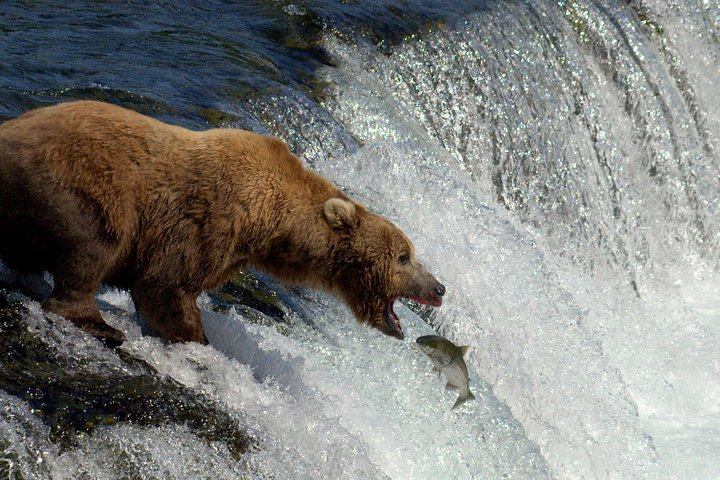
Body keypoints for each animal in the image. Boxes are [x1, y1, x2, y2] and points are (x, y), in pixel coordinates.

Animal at [0, 100, 445, 347]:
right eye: (404, 257)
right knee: (93, 245)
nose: (439, 287)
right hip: (80, 184)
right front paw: (196, 337)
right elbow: (164, 285)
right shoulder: (210, 218)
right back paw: (99, 324)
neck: (271, 224)